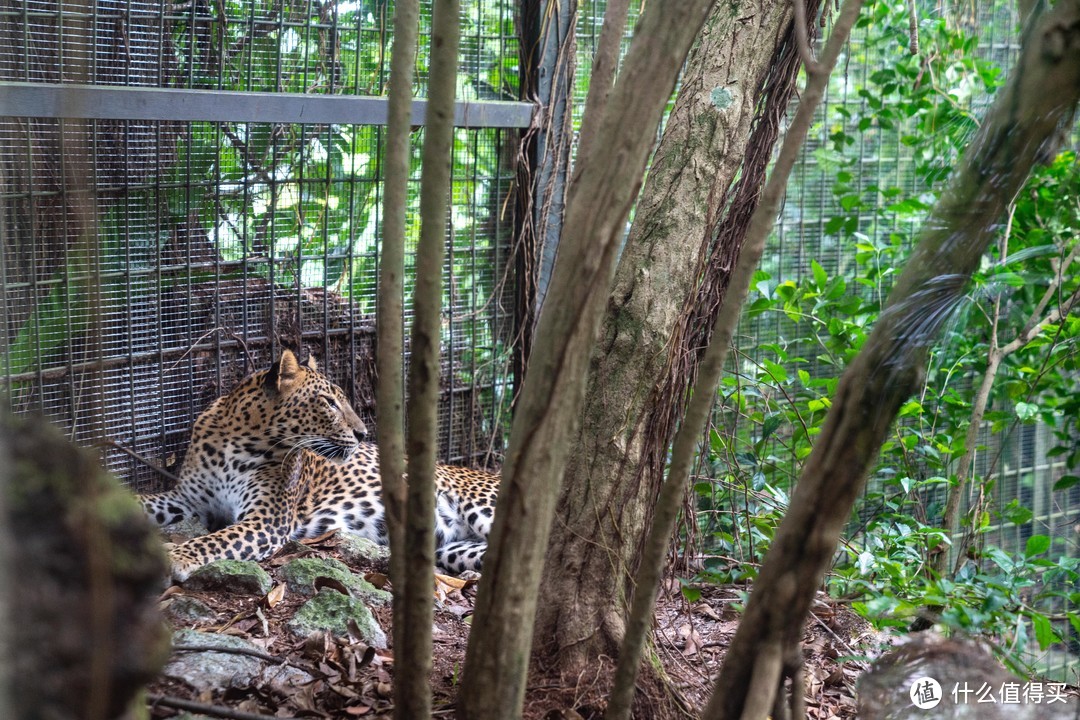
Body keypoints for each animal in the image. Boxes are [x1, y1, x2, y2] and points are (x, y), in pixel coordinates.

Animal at [138, 349, 501, 587]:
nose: (363, 433)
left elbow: (214, 540)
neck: (236, 442)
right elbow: (145, 502)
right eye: (329, 402)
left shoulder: (267, 521)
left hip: (483, 508)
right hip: (455, 549)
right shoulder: (187, 500)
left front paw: (176, 558)